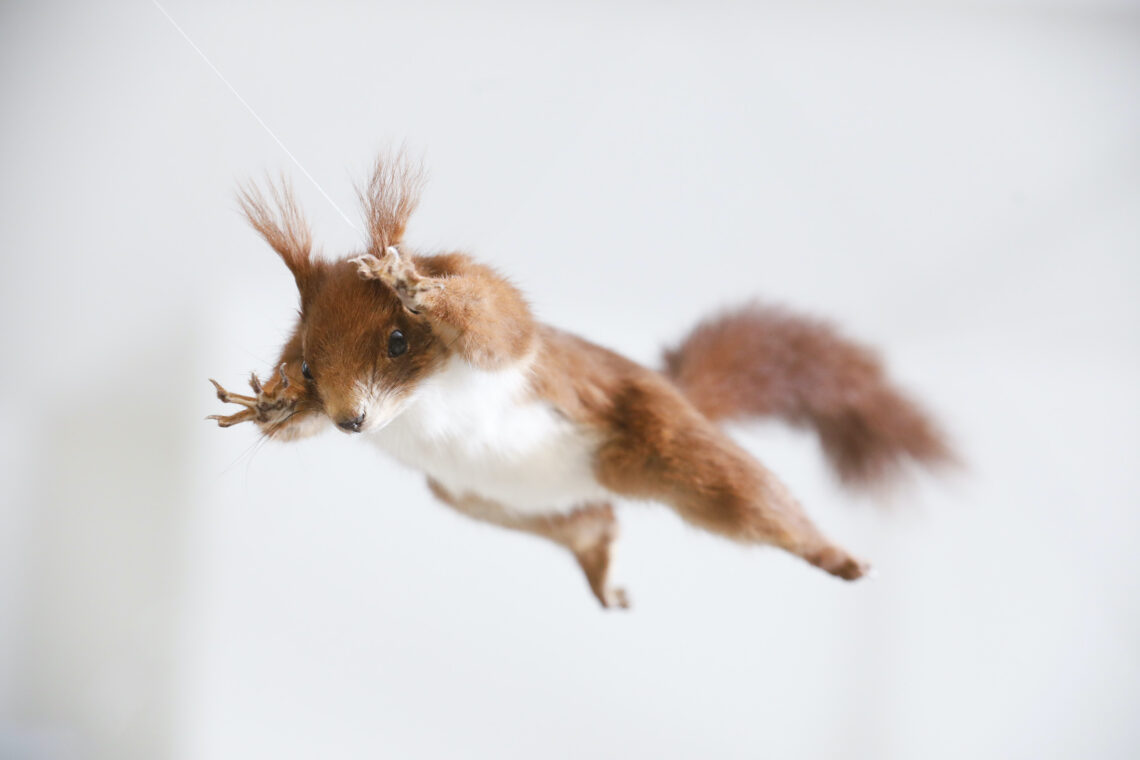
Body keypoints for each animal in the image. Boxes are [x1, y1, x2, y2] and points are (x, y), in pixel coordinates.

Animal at [209, 153, 954, 609]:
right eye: (307, 365)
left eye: (396, 341)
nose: (350, 421)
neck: (418, 406)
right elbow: (290, 431)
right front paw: (267, 407)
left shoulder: (505, 328)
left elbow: (493, 323)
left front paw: (413, 283)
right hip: (486, 501)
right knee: (595, 524)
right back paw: (601, 564)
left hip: (666, 446)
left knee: (753, 499)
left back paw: (836, 556)